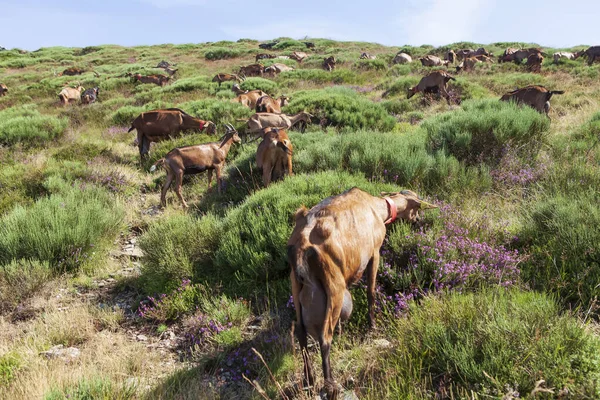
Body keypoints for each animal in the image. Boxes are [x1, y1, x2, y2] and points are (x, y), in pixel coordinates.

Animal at [288, 188, 436, 400]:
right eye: (416, 207)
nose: (417, 221)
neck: (378, 208)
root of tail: (301, 247)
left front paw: (342, 330)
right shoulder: (374, 252)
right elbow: (370, 292)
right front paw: (372, 326)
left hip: (295, 281)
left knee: (300, 330)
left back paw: (309, 378)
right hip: (333, 283)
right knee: (324, 336)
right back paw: (330, 386)